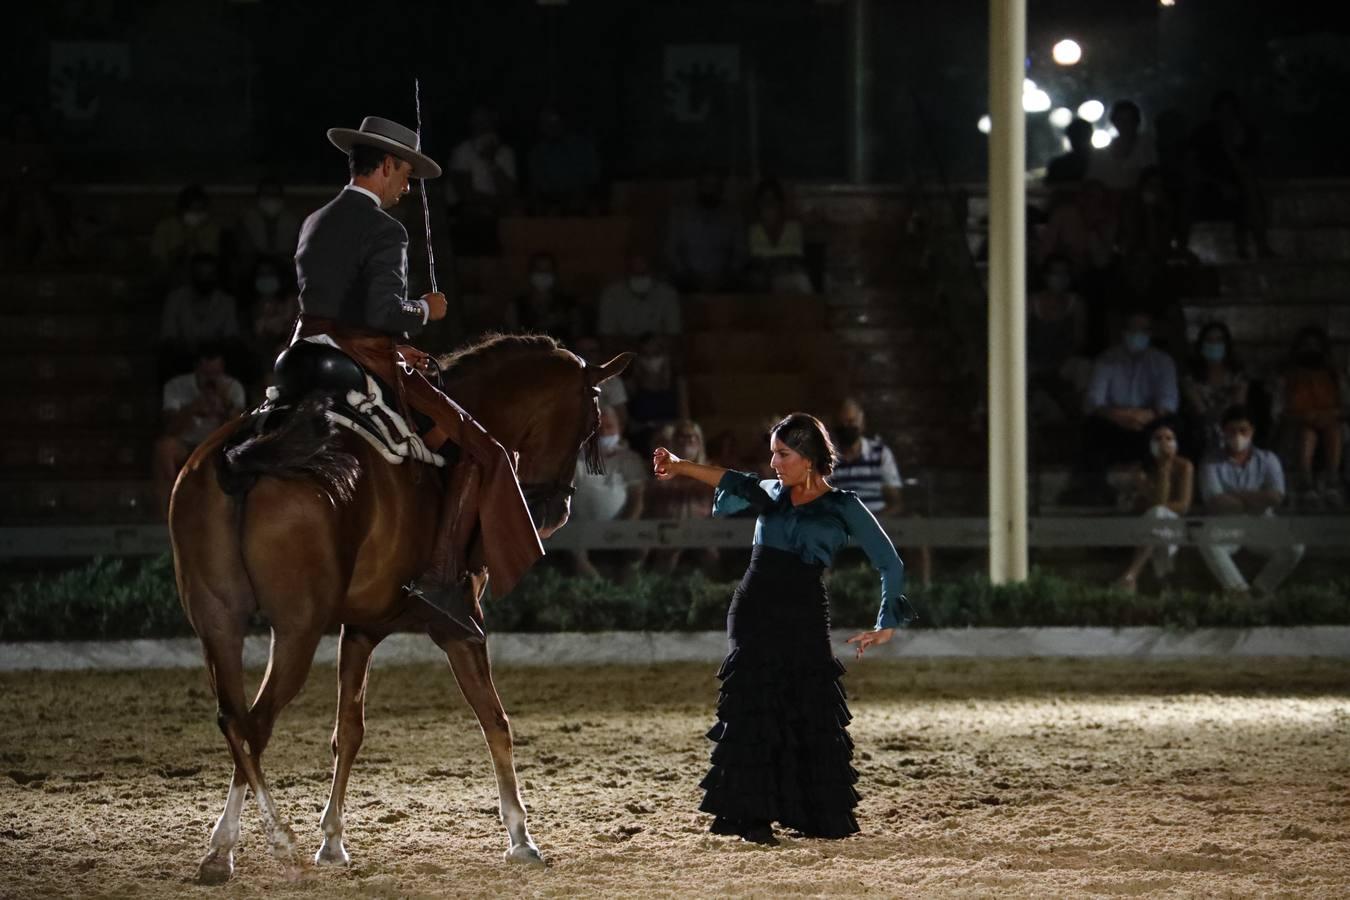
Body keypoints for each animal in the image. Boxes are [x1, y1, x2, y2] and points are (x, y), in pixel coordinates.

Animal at [171, 334, 629, 885]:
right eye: (590, 424)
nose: (555, 511)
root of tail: (246, 453)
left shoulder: (360, 629)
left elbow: (348, 731)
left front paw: (333, 841)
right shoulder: (461, 629)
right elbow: (495, 722)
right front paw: (521, 837)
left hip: (219, 623)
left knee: (233, 719)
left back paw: (223, 850)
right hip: (296, 629)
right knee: (254, 724)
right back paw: (271, 839)